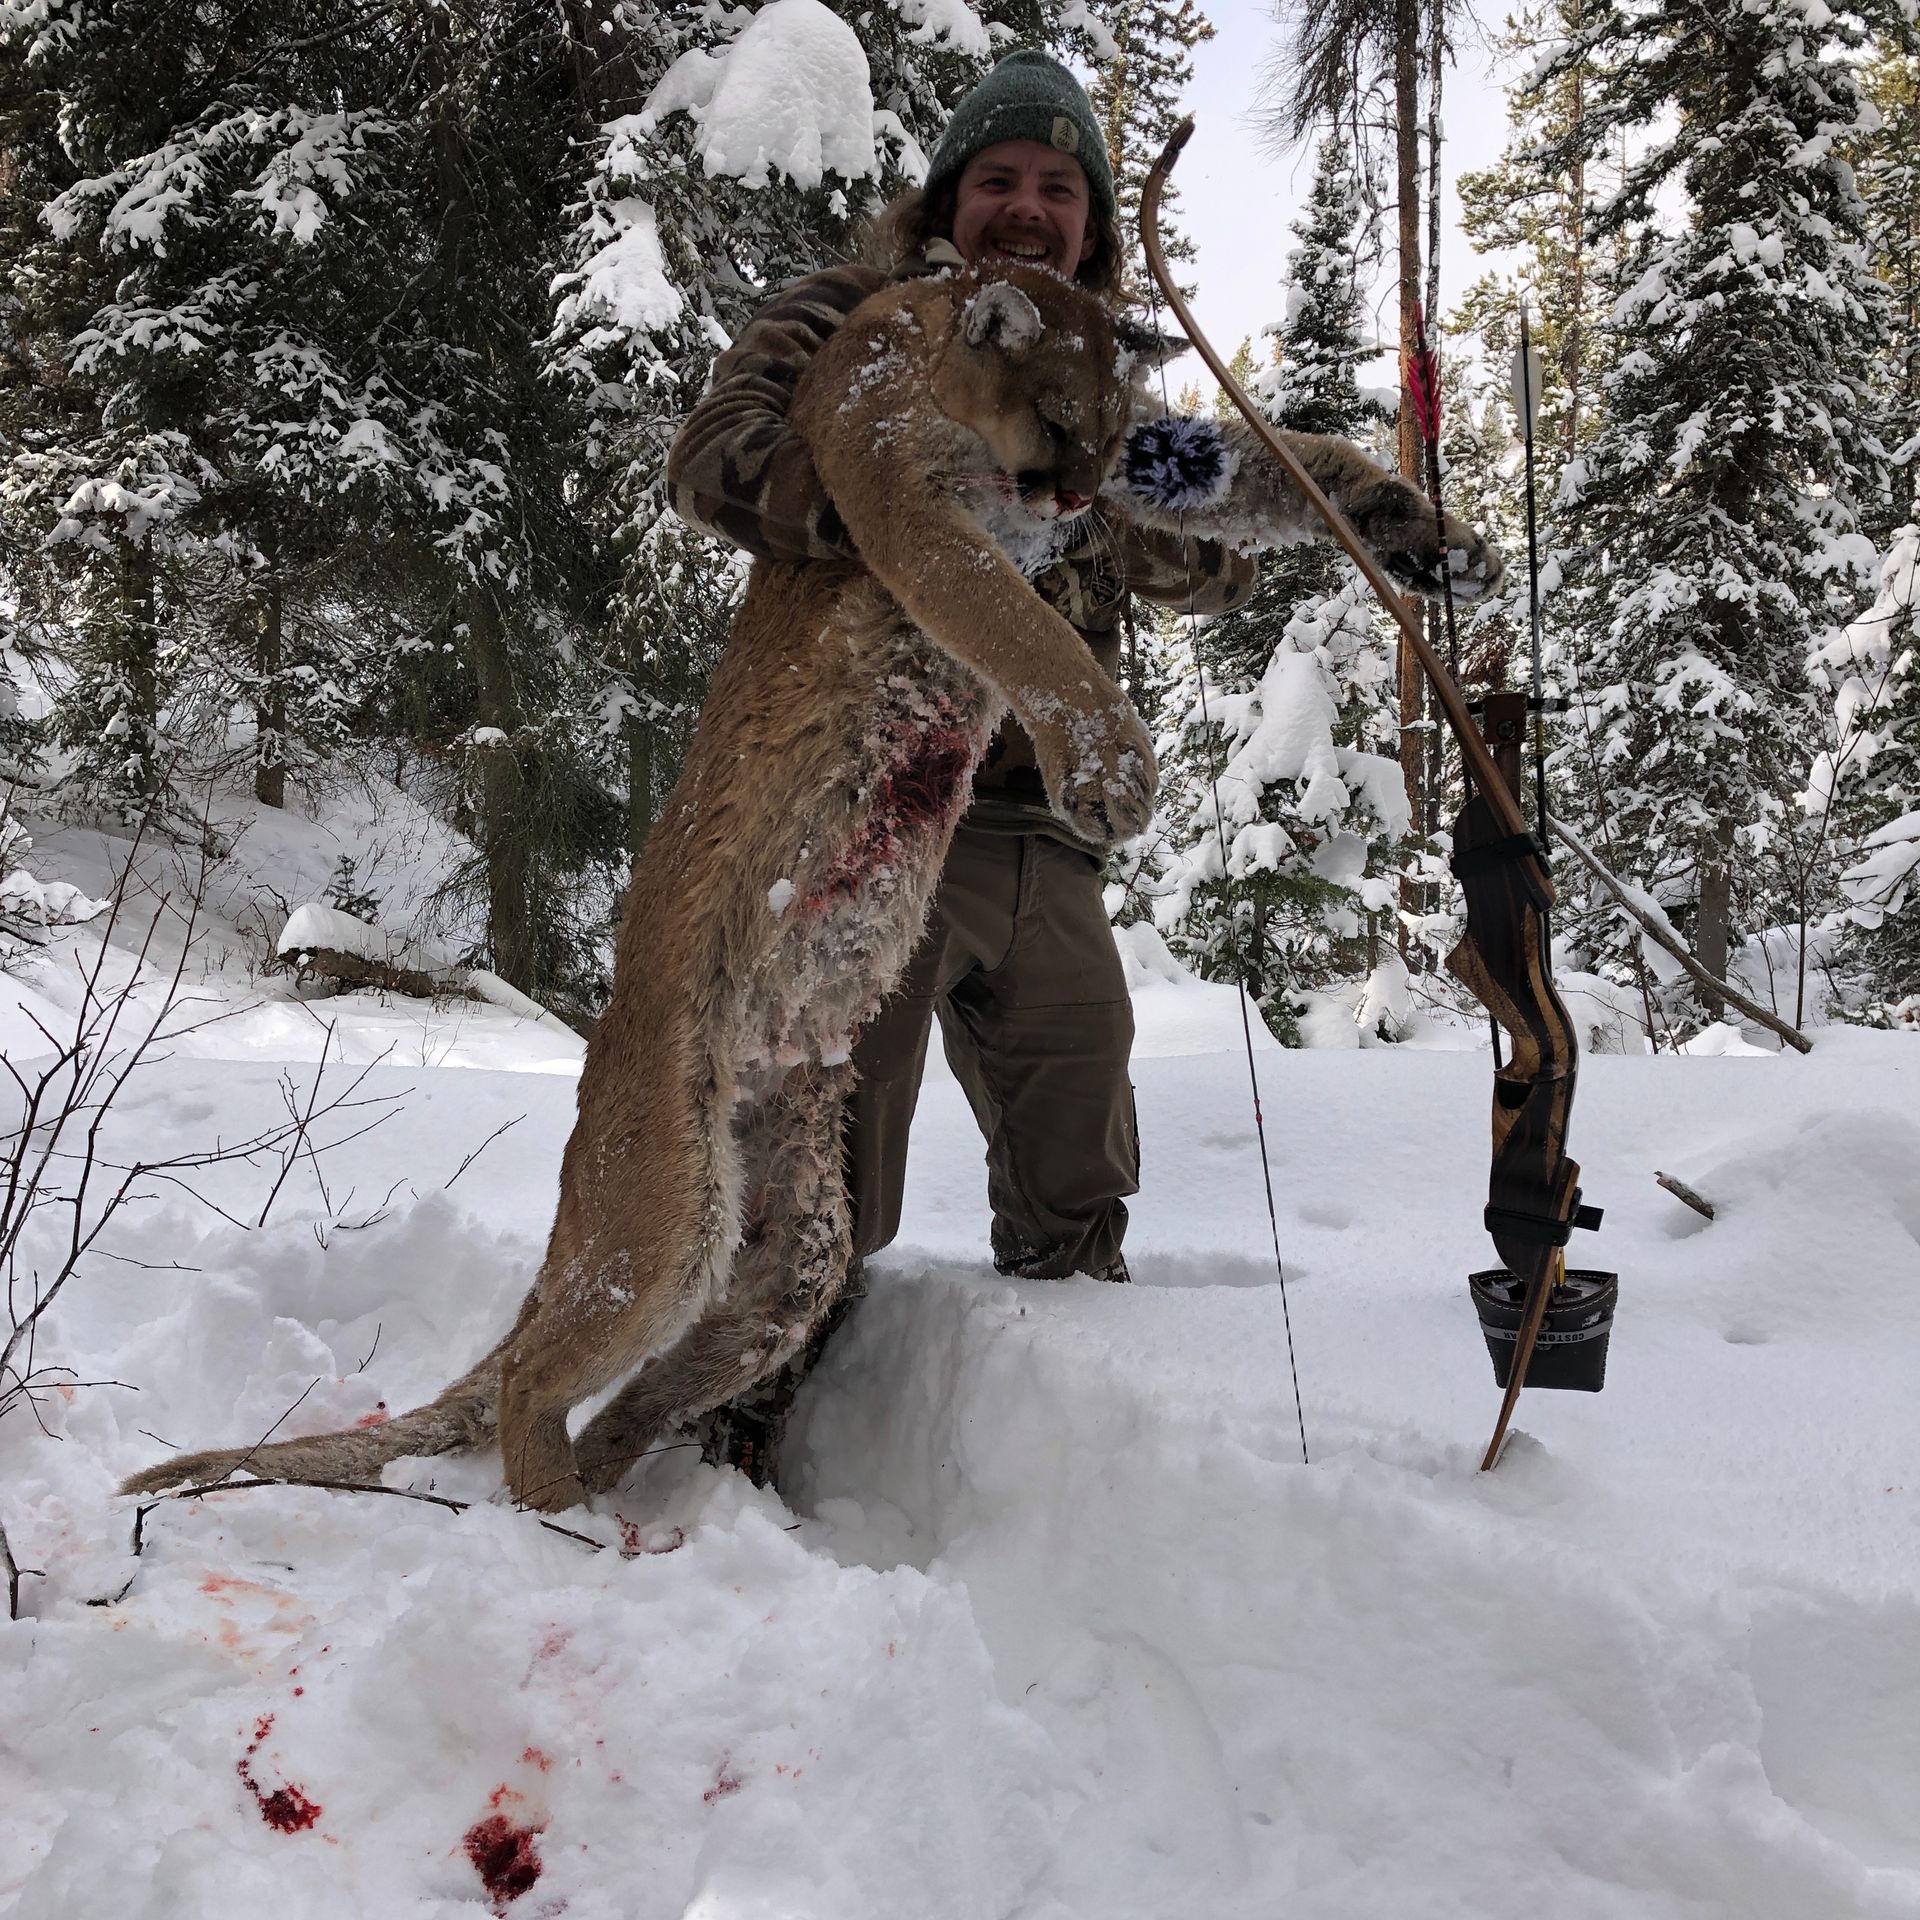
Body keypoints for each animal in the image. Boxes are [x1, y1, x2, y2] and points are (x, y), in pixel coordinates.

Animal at [123, 263, 1496, 1513]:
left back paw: (633, 1496)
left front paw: (1432, 537)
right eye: (1056, 417)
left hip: (790, 1240)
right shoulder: (902, 506)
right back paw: (566, 1522)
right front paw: (1112, 769)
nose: (1070, 490)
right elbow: (1031, 629)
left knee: (665, 1371)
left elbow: (1277, 463)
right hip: (665, 1212)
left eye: (1109, 432)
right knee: (532, 1380)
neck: (921, 347)